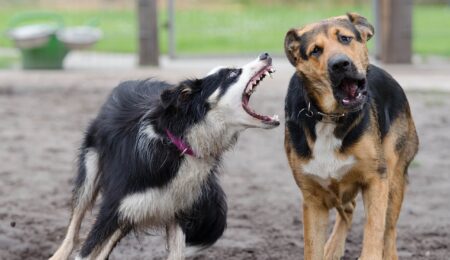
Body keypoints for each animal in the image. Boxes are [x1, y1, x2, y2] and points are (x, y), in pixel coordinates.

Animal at [51, 53, 280, 260]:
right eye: (233, 73)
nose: (266, 54)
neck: (180, 143)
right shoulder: (113, 208)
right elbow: (86, 251)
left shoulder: (175, 209)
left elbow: (176, 252)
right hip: (91, 173)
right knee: (74, 228)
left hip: (137, 210)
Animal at [284, 12, 418, 260]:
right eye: (315, 50)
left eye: (345, 38)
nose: (340, 64)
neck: (330, 117)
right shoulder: (313, 198)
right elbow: (312, 248)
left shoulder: (376, 179)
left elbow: (375, 232)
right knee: (348, 210)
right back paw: (333, 248)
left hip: (394, 176)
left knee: (389, 230)